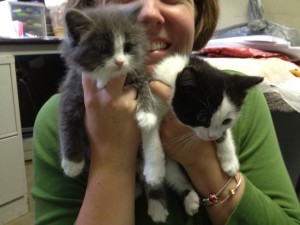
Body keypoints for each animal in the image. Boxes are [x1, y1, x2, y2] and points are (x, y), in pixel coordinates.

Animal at [58, 4, 157, 178]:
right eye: (103, 48)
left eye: (128, 47)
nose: (120, 62)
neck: (109, 79)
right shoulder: (72, 89)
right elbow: (67, 120)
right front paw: (72, 164)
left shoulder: (139, 74)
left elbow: (145, 86)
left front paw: (147, 115)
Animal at [146, 54, 264, 221]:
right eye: (202, 117)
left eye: (226, 121)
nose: (211, 136)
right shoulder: (152, 97)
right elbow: (149, 130)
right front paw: (154, 170)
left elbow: (224, 133)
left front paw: (229, 160)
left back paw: (190, 199)